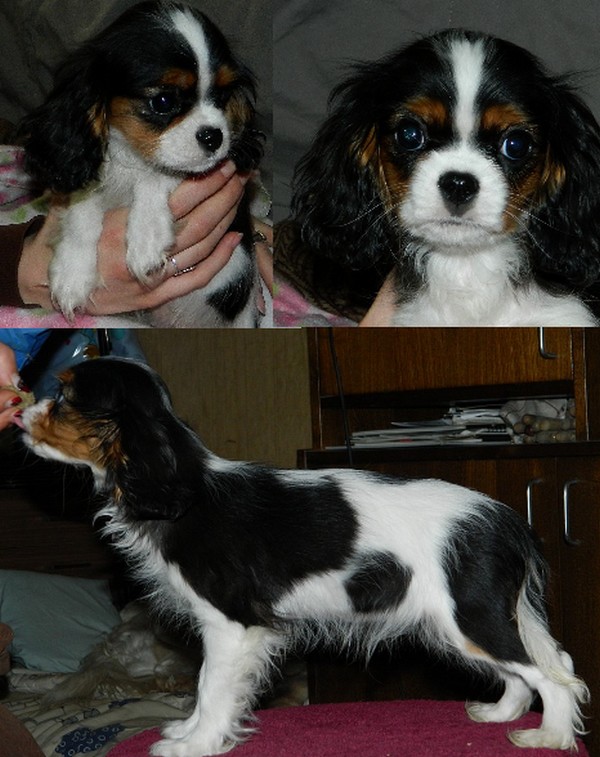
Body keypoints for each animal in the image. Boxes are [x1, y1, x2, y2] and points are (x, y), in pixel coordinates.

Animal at [20, 358, 588, 755]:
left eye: (64, 395)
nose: (21, 410)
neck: (184, 488)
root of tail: (507, 519)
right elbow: (208, 689)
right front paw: (189, 732)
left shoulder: (231, 625)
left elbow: (210, 685)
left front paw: (196, 745)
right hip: (462, 623)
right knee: (525, 670)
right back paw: (501, 715)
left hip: (468, 615)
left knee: (552, 669)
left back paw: (550, 738)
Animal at [21, 1, 264, 327]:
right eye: (162, 102)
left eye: (223, 96)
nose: (214, 136)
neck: (131, 157)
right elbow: (83, 207)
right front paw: (72, 273)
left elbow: (156, 176)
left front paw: (147, 236)